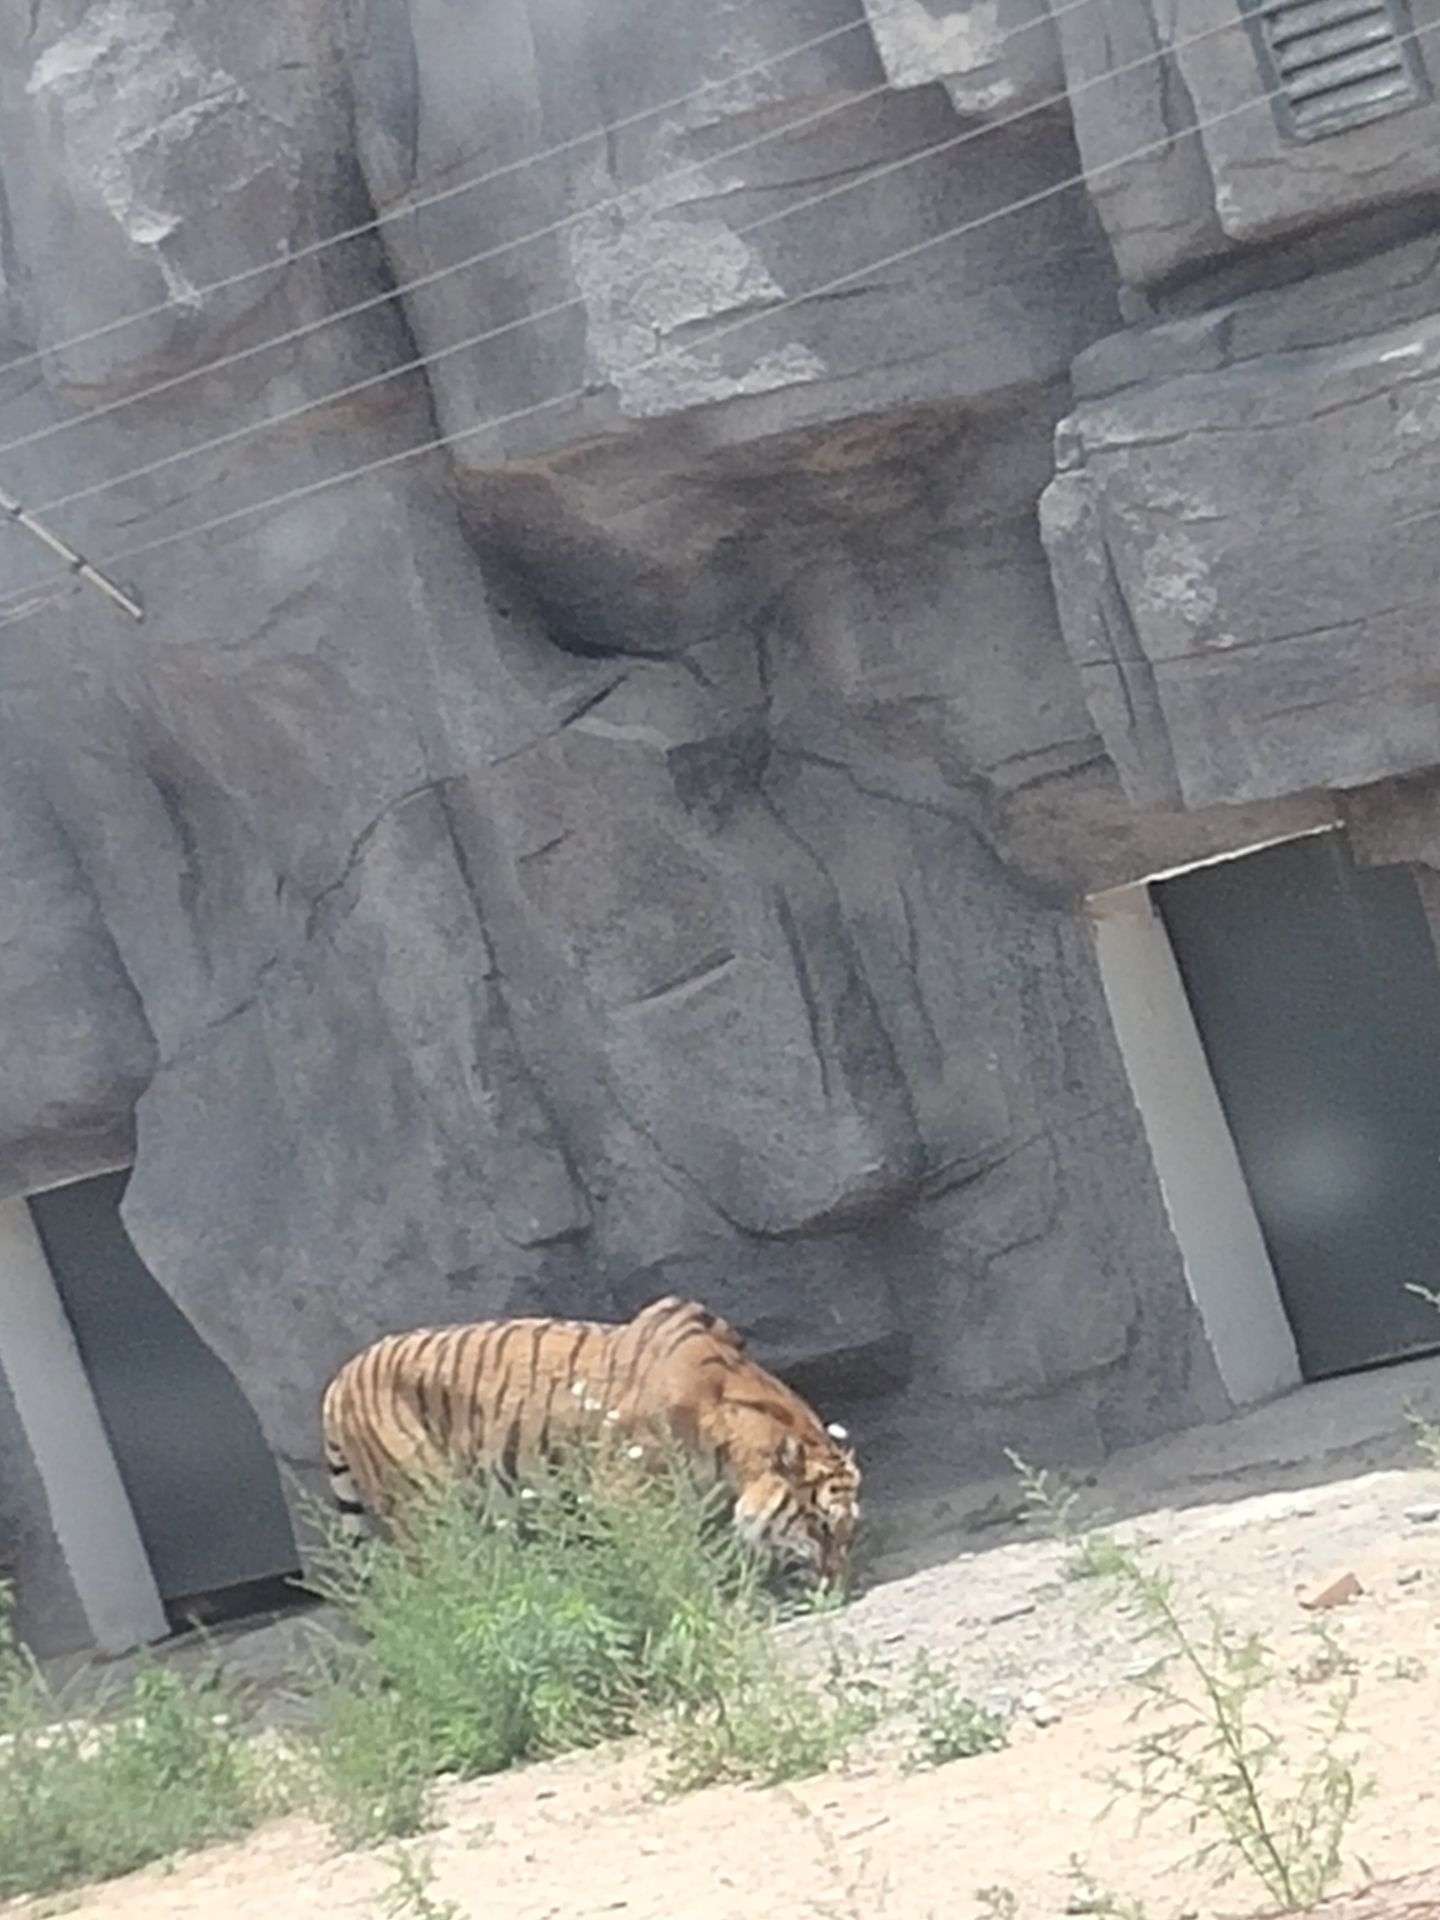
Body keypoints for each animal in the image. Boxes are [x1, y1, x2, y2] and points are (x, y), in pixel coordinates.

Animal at [320, 1290, 864, 1589]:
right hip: (426, 1508)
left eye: (849, 1531)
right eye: (820, 1525)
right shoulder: (627, 1491)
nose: (839, 1587)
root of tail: (340, 1379)